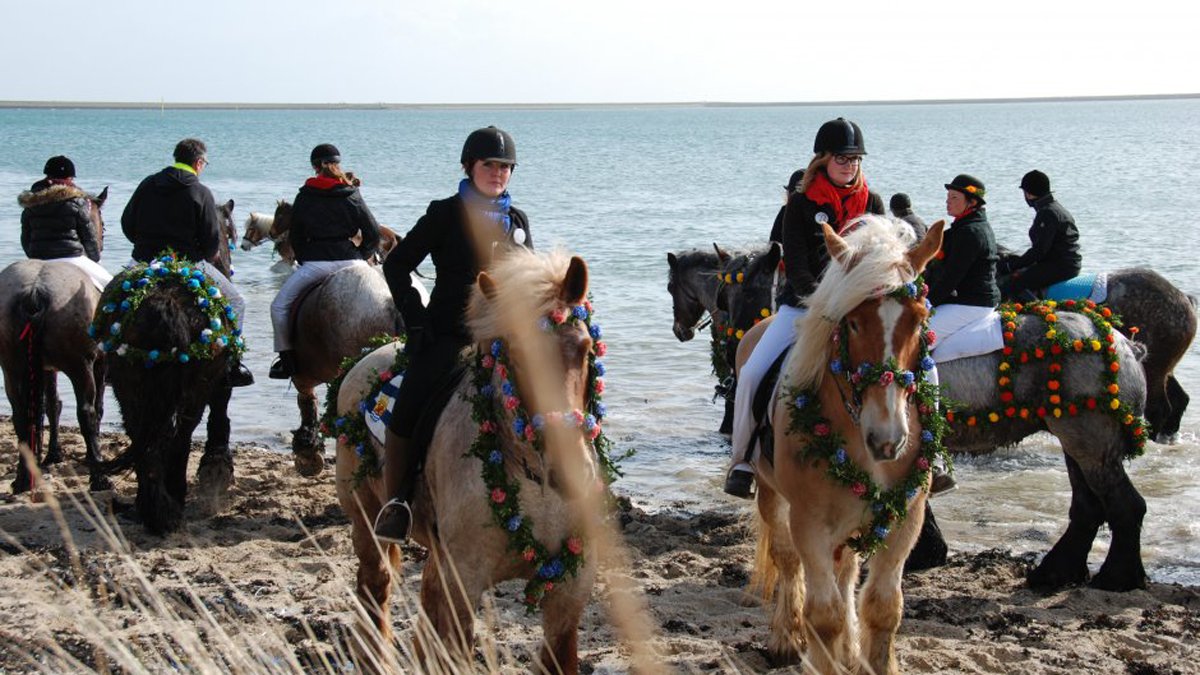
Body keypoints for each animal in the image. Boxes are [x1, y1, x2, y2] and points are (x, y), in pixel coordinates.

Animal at [0, 187, 111, 494]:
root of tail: (35, 290)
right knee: (86, 412)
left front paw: (52, 455)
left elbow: (51, 404)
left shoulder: (44, 367)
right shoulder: (98, 363)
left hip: (12, 366)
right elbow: (96, 408)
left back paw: (22, 479)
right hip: (79, 365)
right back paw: (98, 478)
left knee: (21, 414)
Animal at [92, 254, 243, 534]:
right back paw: (169, 505)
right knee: (178, 439)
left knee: (145, 441)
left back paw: (154, 510)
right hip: (189, 395)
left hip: (130, 391)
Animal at [334, 250, 601, 673]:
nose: (570, 472)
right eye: (517, 356)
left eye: (585, 347)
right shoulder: (465, 580)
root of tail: (367, 358)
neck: (533, 484)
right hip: (364, 517)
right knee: (375, 585)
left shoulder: (570, 588)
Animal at [749, 218, 943, 673]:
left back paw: (851, 650)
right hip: (770, 494)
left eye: (919, 320)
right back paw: (785, 638)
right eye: (852, 323)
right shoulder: (809, 522)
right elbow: (824, 615)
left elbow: (884, 606)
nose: (887, 439)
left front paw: (868, 657)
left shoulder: (905, 519)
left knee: (848, 568)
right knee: (787, 561)